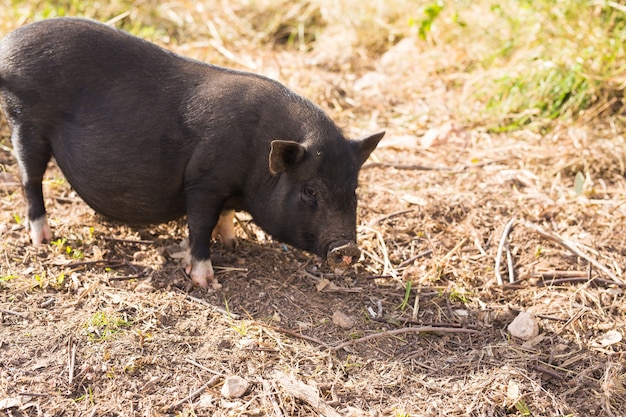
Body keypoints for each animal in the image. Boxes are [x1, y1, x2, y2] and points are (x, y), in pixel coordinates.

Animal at [0, 17, 382, 288]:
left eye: (354, 191)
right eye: (309, 191)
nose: (347, 248)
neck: (256, 158)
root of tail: (8, 47)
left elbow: (224, 217)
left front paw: (232, 244)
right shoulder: (203, 181)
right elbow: (199, 226)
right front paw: (205, 279)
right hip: (26, 123)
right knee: (29, 179)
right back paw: (43, 239)